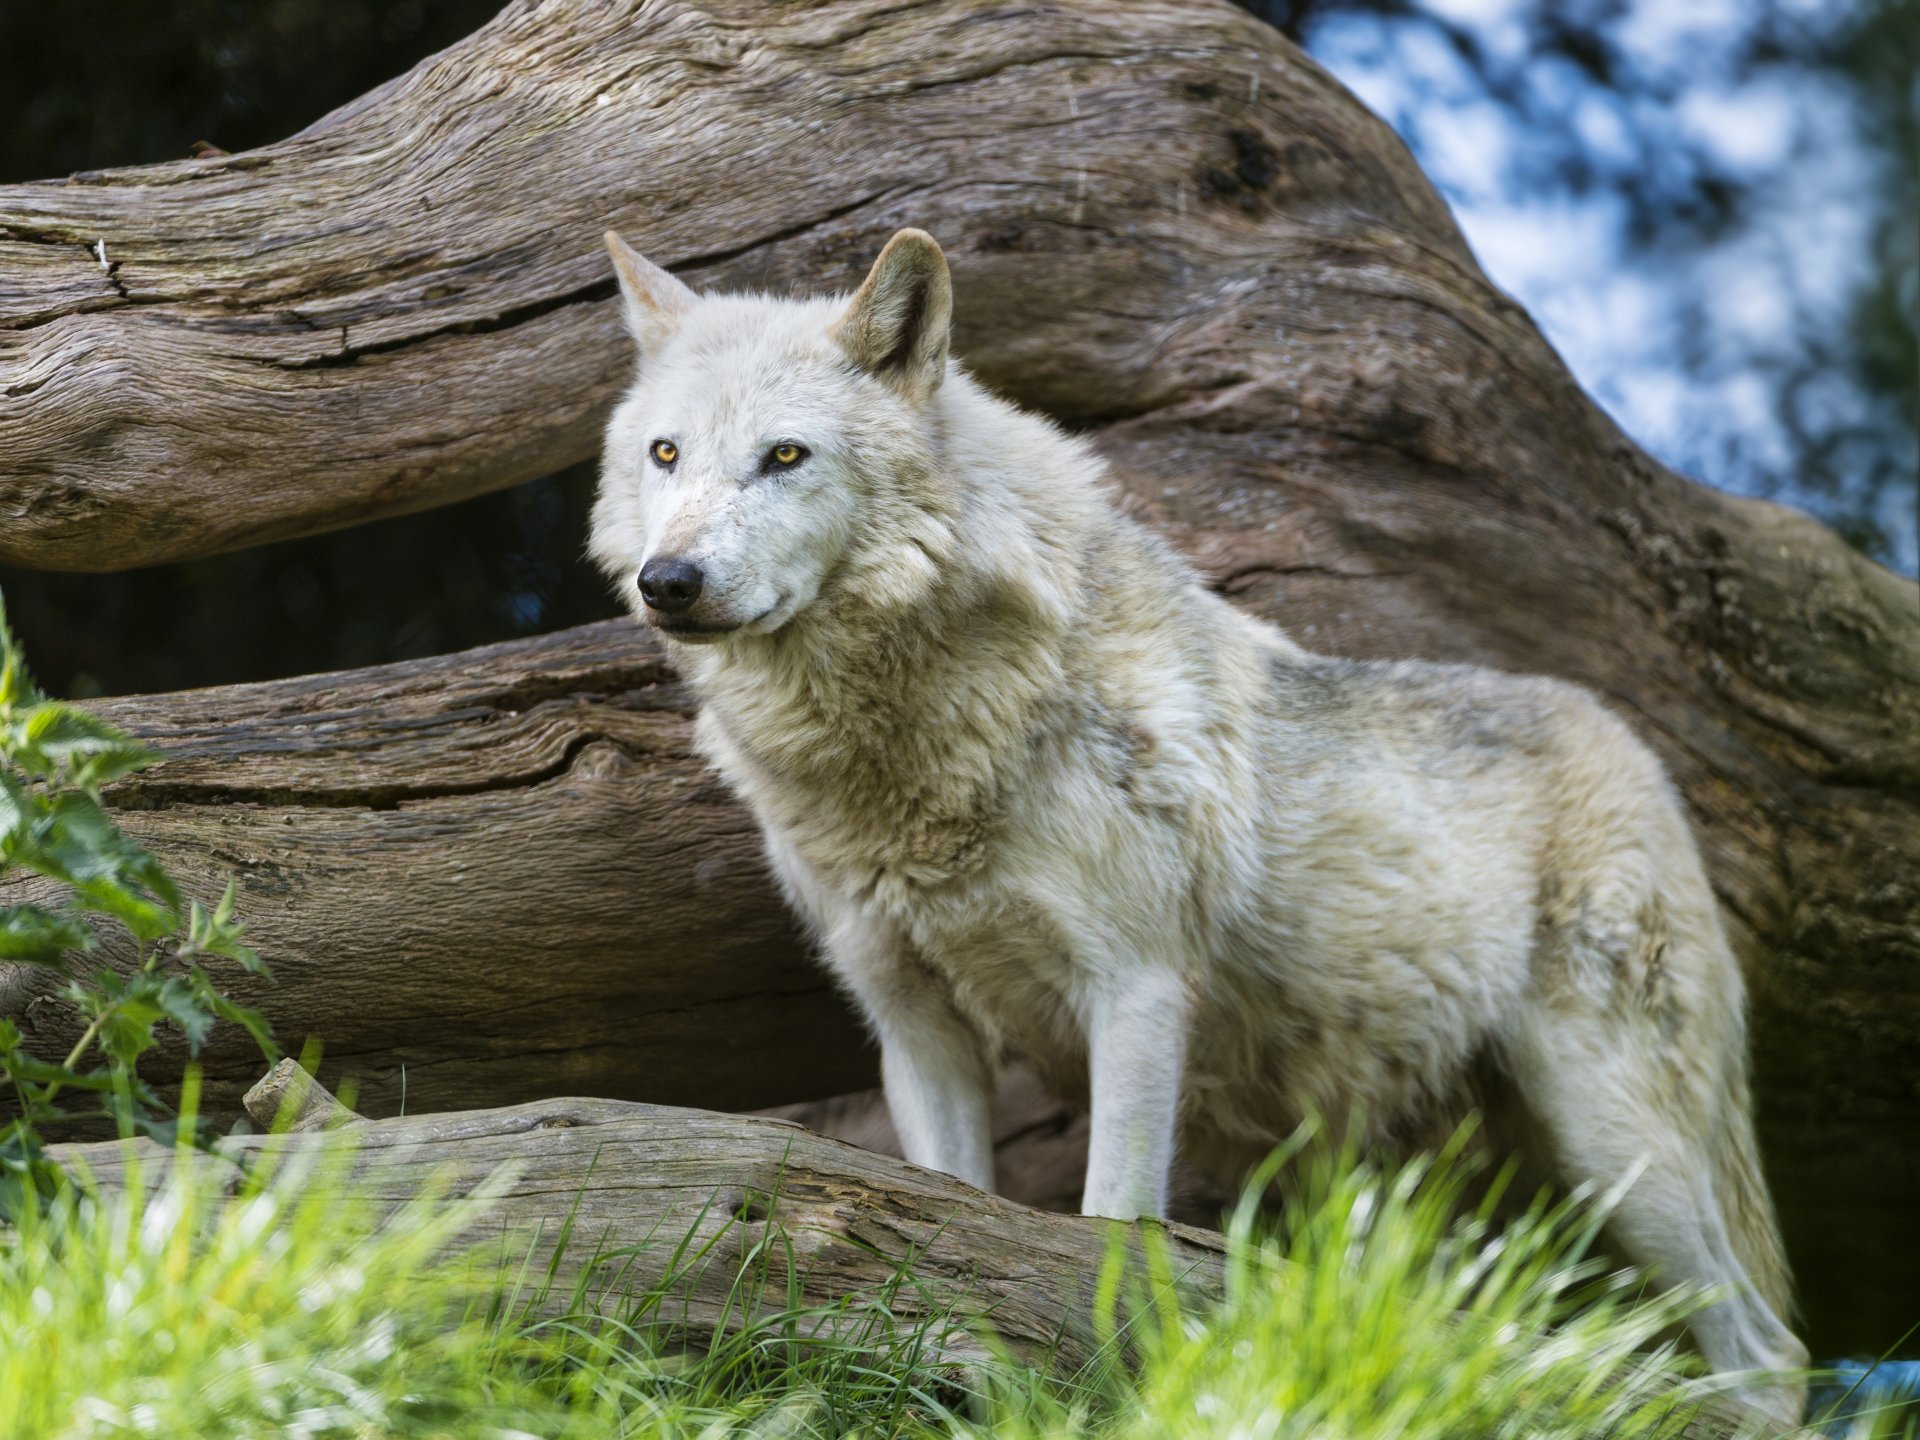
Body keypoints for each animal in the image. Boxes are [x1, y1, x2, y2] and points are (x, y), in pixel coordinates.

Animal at [589, 227, 1809, 1423]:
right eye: (666, 455)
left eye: (785, 457)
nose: (669, 580)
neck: (923, 744)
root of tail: (1639, 752)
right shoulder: (915, 1026)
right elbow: (950, 1217)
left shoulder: (1135, 992)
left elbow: (1106, 1234)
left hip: (1615, 1149)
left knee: (1772, 1360)